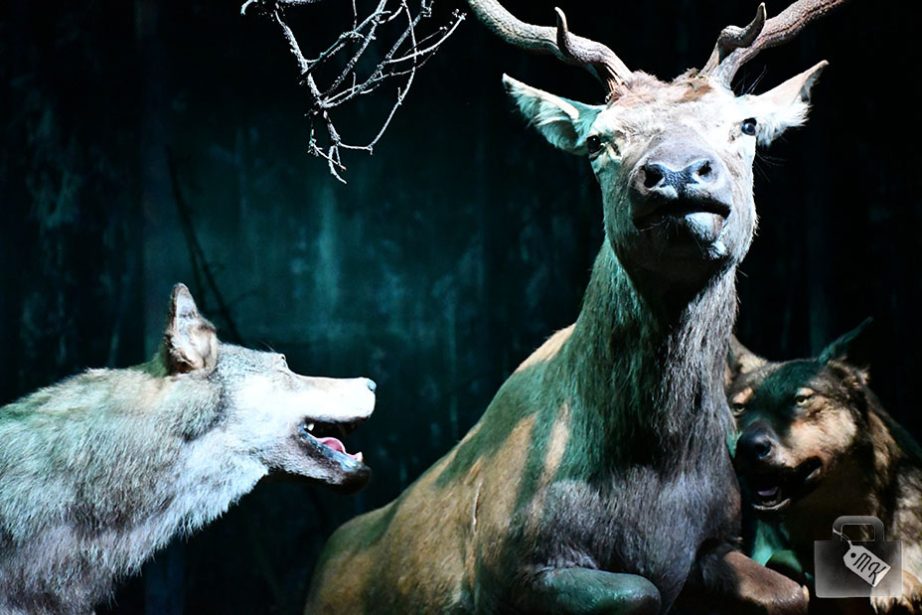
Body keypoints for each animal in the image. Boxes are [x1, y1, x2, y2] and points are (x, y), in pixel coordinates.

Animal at [305, 1, 847, 613]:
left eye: (747, 124)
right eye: (599, 140)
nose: (677, 172)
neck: (653, 480)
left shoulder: (723, 537)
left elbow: (792, 593)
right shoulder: (514, 565)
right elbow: (641, 591)